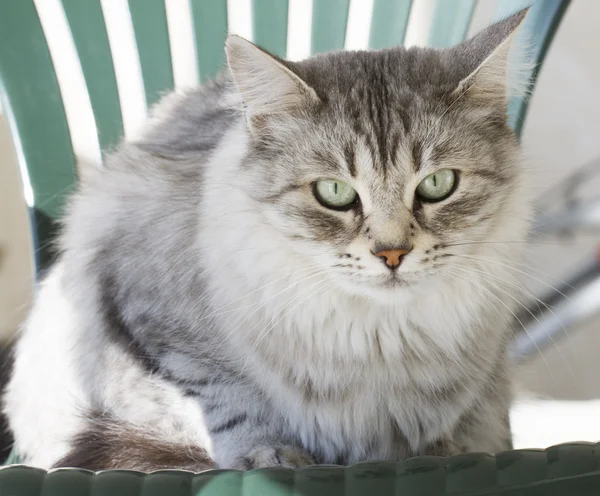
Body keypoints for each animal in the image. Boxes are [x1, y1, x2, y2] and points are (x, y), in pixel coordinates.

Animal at [4, 9, 532, 470]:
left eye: (438, 184)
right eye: (334, 192)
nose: (392, 254)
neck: (378, 342)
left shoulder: (477, 387)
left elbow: (464, 429)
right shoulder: (150, 323)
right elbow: (223, 398)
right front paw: (270, 455)